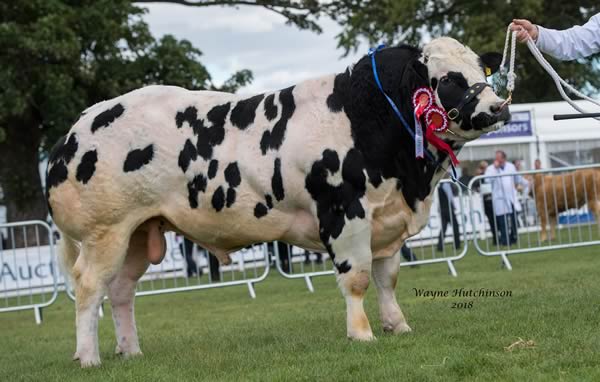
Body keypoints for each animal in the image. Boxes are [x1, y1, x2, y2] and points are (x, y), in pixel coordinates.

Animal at [44, 38, 508, 368]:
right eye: (449, 79)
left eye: (480, 69)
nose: (498, 107)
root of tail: (76, 129)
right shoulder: (345, 214)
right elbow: (357, 279)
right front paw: (361, 334)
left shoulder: (386, 219)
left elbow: (387, 279)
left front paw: (398, 326)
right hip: (105, 231)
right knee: (89, 287)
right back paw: (89, 357)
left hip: (139, 231)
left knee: (120, 290)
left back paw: (131, 350)